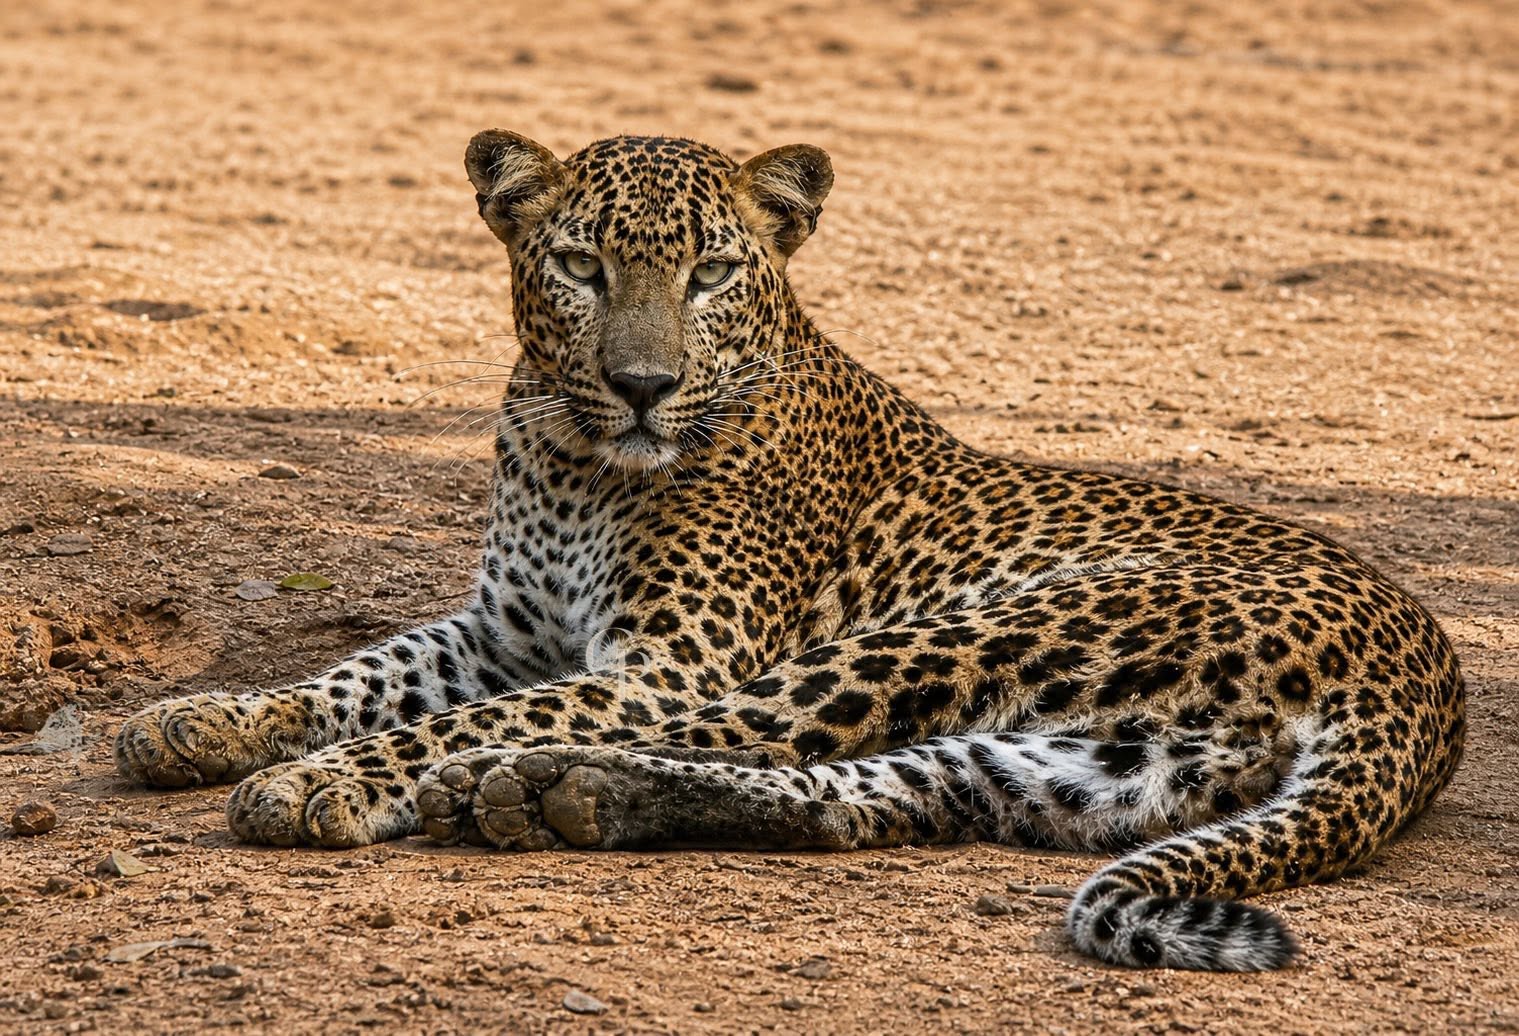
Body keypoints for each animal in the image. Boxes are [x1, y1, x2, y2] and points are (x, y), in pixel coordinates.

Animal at [114, 130, 1466, 972]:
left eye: (712, 271)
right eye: (579, 265)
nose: (643, 386)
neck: (573, 453)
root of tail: (1425, 681)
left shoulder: (661, 658)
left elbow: (445, 713)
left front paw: (327, 779)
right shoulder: (502, 627)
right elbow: (360, 671)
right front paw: (207, 719)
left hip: (953, 633)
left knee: (729, 734)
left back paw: (501, 784)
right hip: (1087, 763)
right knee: (851, 798)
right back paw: (570, 797)